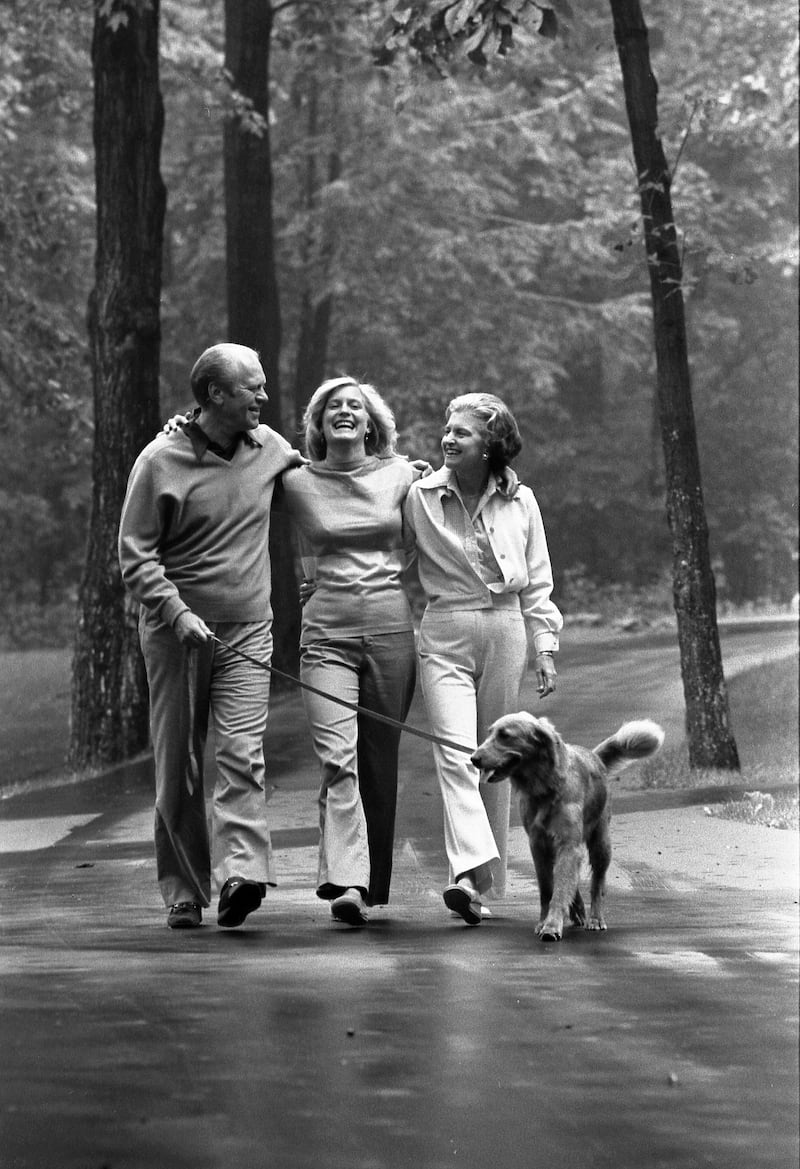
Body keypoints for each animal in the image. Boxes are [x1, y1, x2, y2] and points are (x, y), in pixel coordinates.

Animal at [472, 710, 664, 939]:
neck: (543, 787)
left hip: (601, 843)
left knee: (597, 884)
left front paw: (552, 925)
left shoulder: (568, 843)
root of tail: (593, 755)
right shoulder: (539, 844)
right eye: (489, 733)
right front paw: (544, 921)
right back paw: (578, 909)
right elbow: (549, 889)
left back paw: (595, 918)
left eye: (505, 735)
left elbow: (562, 888)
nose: (474, 758)